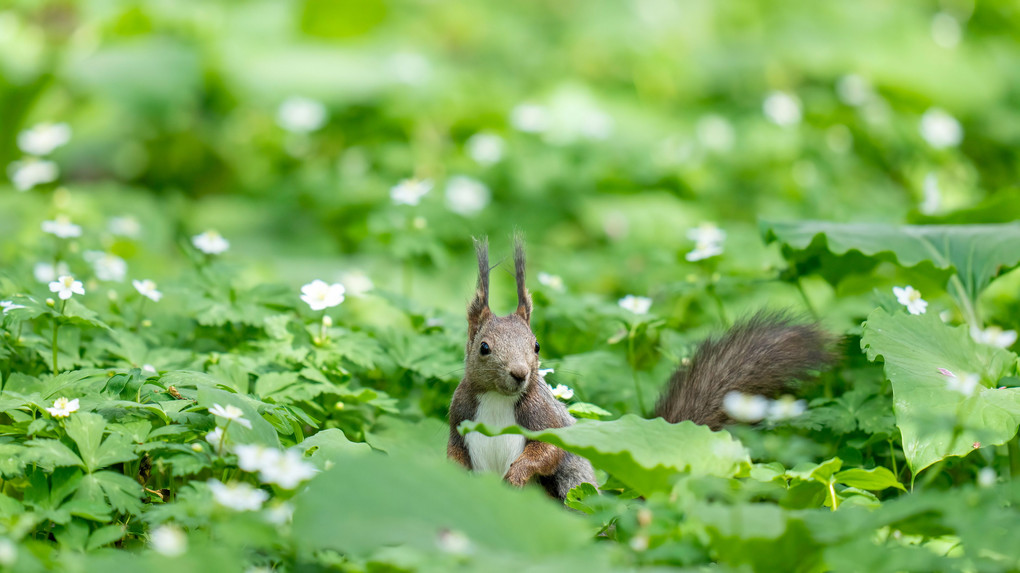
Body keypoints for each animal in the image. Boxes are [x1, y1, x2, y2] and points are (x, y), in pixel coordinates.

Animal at [448, 234, 836, 497]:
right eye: (484, 348)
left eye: (537, 346)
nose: (520, 374)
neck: (498, 399)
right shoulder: (459, 414)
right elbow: (454, 451)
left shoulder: (544, 417)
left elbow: (550, 450)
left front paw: (516, 475)